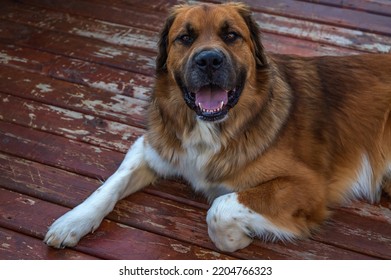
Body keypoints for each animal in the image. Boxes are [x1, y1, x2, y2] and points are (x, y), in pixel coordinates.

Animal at [44, 2, 391, 253]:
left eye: (231, 36)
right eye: (185, 37)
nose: (209, 60)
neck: (210, 128)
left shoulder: (307, 185)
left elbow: (219, 208)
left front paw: (240, 238)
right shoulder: (154, 145)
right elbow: (110, 184)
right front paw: (74, 220)